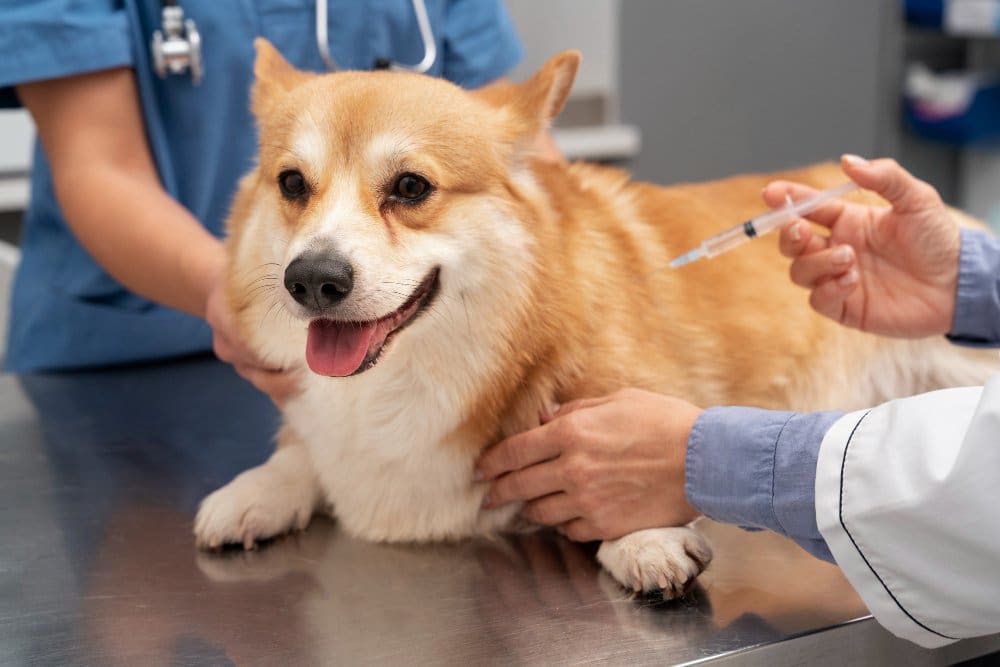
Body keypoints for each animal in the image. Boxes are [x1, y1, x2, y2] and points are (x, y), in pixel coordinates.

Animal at [195, 40, 992, 596]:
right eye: (292, 183)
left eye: (411, 187)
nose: (312, 279)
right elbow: (297, 453)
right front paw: (251, 493)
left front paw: (644, 541)